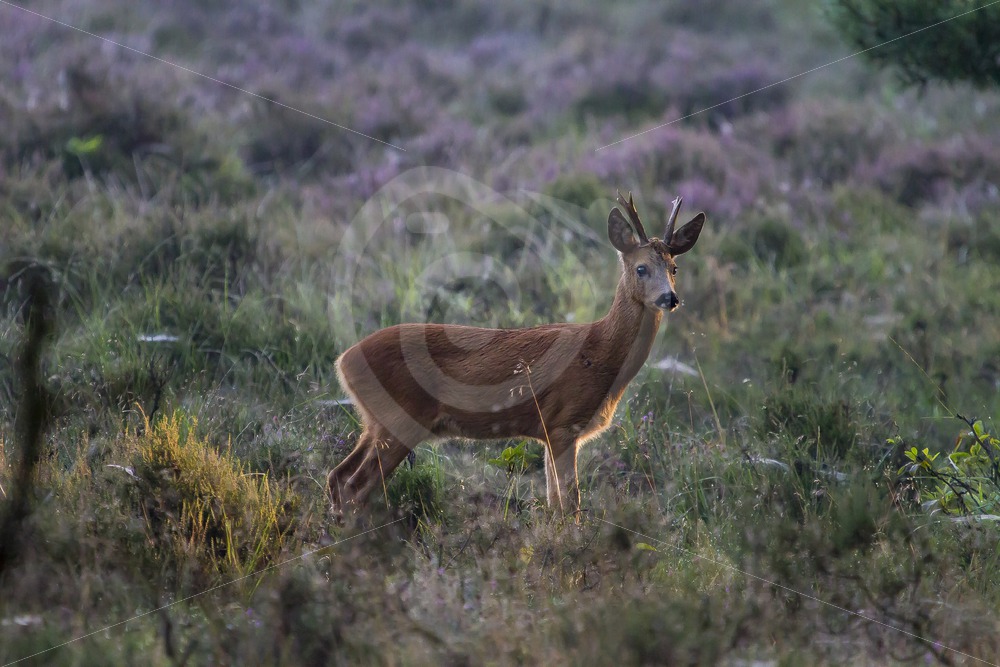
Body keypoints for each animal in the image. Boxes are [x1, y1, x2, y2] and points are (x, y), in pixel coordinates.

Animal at [328, 191, 705, 519]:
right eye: (641, 268)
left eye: (674, 268)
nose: (670, 298)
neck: (600, 353)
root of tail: (343, 361)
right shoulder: (563, 423)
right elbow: (570, 505)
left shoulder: (548, 431)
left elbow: (556, 503)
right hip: (401, 418)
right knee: (355, 485)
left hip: (375, 421)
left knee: (337, 477)